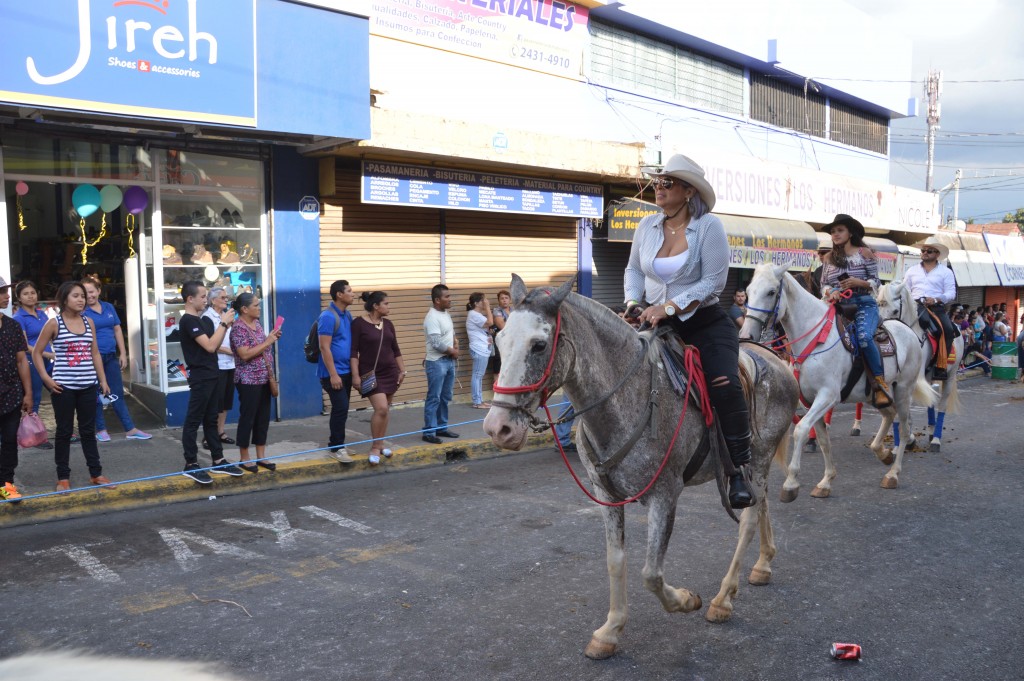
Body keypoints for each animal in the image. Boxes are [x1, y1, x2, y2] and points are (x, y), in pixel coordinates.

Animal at [481, 274, 798, 659]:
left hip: (760, 458)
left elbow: (651, 573)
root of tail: (777, 359)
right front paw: (610, 631)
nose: (498, 427)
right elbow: (615, 560)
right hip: (755, 467)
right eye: (499, 341)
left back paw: (723, 599)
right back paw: (763, 564)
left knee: (749, 519)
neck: (627, 400)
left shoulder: (665, 496)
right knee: (762, 504)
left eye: (539, 345)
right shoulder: (606, 495)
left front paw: (687, 600)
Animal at [741, 262, 937, 497]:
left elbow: (801, 430)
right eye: (748, 291)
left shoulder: (828, 396)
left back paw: (893, 474)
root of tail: (908, 330)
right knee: (889, 415)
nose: (747, 335)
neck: (815, 338)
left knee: (905, 426)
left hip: (903, 391)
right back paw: (882, 452)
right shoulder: (808, 401)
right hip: (875, 394)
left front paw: (791, 482)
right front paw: (825, 481)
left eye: (771, 292)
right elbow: (822, 439)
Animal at [876, 280, 962, 450]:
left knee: (942, 405)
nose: (883, 334)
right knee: (931, 402)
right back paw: (930, 432)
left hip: (950, 376)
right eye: (878, 306)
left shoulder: (912, 381)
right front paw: (907, 440)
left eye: (895, 310)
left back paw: (936, 440)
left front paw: (906, 439)